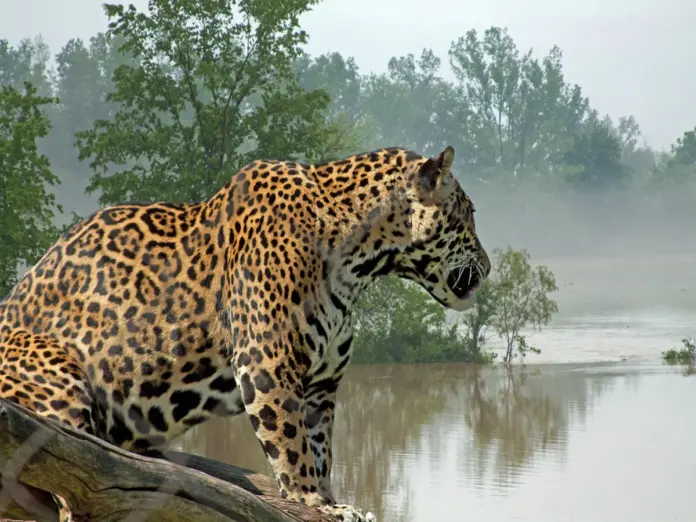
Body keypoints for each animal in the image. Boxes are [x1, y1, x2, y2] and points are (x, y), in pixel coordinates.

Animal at [0, 145, 490, 521]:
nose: (487, 267)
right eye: (468, 215)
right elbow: (293, 446)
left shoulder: (321, 386)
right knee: (71, 482)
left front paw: (330, 498)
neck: (361, 261)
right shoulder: (269, 363)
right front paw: (315, 502)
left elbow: (320, 447)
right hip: (58, 376)